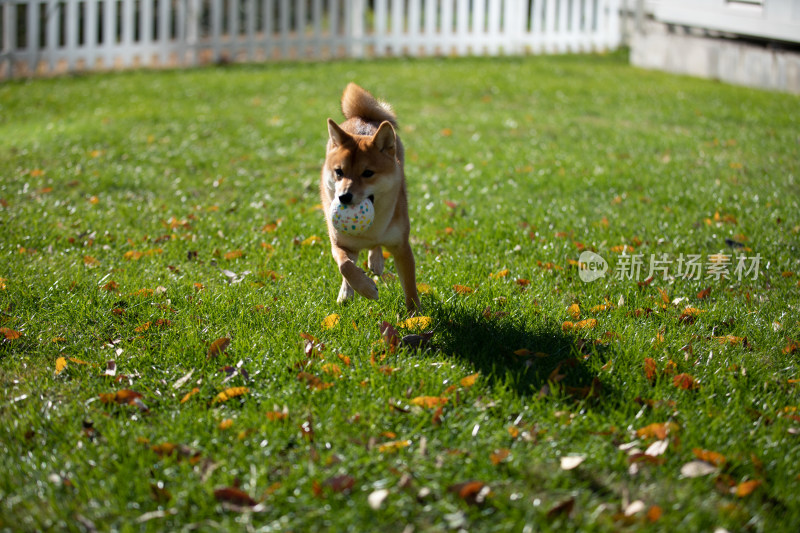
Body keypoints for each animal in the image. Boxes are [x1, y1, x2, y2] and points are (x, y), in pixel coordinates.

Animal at [320, 83, 422, 312]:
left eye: (368, 173)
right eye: (339, 172)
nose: (344, 197)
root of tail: (362, 117)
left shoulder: (401, 247)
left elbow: (410, 287)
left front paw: (416, 315)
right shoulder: (339, 243)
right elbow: (345, 266)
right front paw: (364, 288)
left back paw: (376, 262)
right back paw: (347, 292)